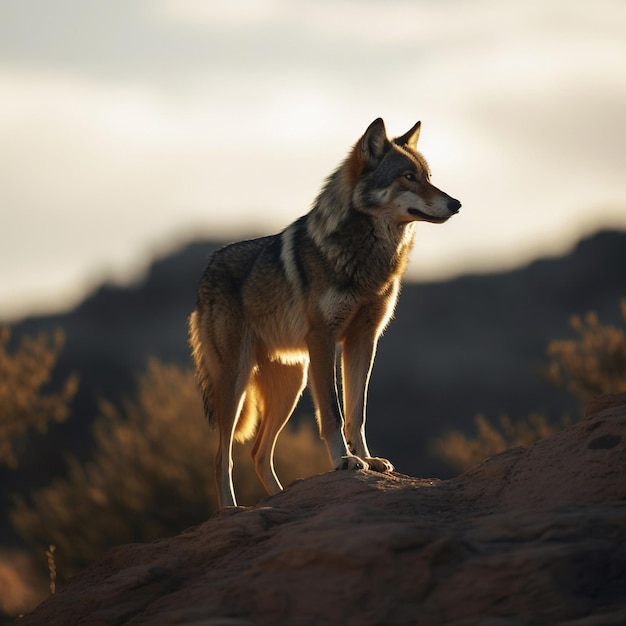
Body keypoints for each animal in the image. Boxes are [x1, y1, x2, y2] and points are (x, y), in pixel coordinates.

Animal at [186, 118, 458, 508]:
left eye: (428, 176)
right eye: (408, 177)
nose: (457, 203)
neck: (368, 258)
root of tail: (208, 268)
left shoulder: (364, 339)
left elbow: (356, 411)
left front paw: (368, 458)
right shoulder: (323, 339)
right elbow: (332, 411)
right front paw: (344, 460)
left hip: (292, 383)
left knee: (258, 453)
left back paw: (280, 499)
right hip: (236, 383)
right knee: (223, 457)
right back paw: (233, 510)